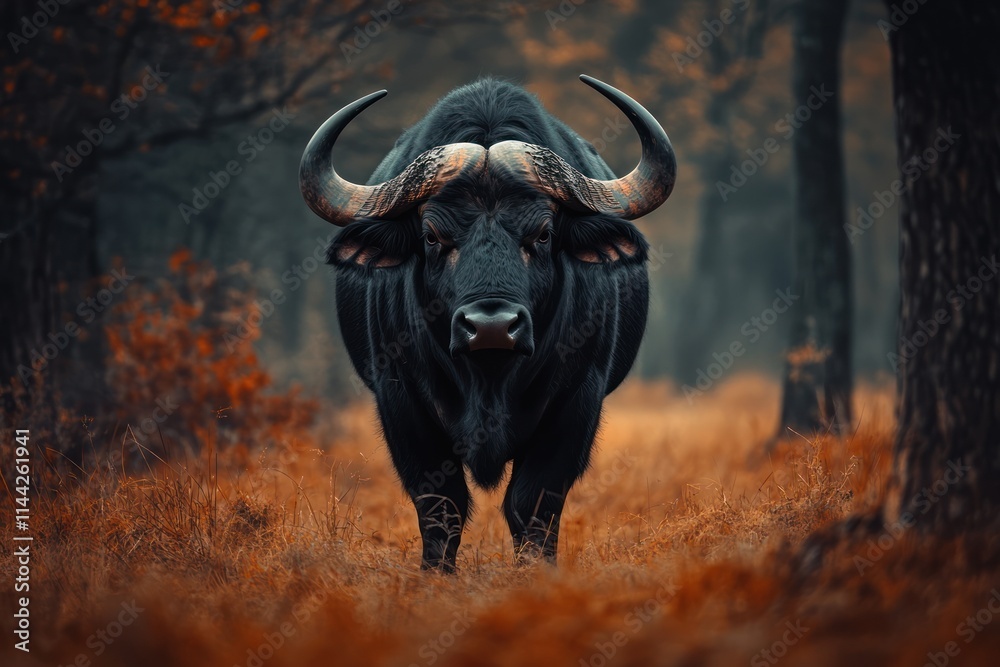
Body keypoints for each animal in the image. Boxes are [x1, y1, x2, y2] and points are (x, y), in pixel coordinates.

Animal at [299, 75, 675, 571]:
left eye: (543, 234)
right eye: (432, 236)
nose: (491, 326)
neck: (489, 378)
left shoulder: (579, 398)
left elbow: (533, 502)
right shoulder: (399, 399)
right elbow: (442, 505)